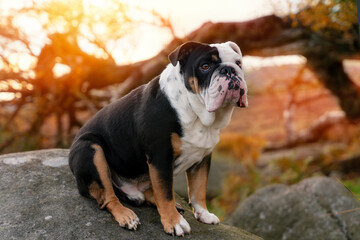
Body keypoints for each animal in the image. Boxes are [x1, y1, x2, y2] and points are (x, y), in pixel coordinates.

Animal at [68, 41, 248, 236]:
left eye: (238, 63)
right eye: (205, 66)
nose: (229, 70)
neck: (196, 112)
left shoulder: (203, 157)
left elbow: (198, 188)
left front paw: (204, 214)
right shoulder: (161, 157)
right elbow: (165, 192)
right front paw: (175, 223)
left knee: (147, 193)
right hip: (90, 149)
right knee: (108, 197)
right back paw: (126, 216)